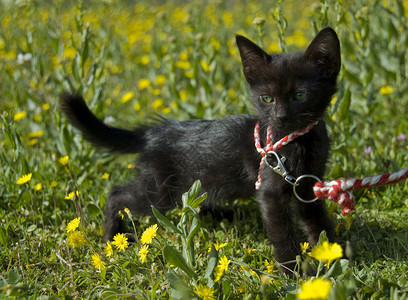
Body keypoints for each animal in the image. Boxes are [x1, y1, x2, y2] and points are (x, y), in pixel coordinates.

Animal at [61, 27, 342, 274]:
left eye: (300, 95)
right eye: (267, 99)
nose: (281, 117)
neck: (297, 142)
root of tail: (152, 133)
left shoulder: (307, 185)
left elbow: (317, 222)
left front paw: (334, 257)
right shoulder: (271, 192)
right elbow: (283, 234)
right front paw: (295, 274)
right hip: (160, 193)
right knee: (117, 193)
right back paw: (113, 237)